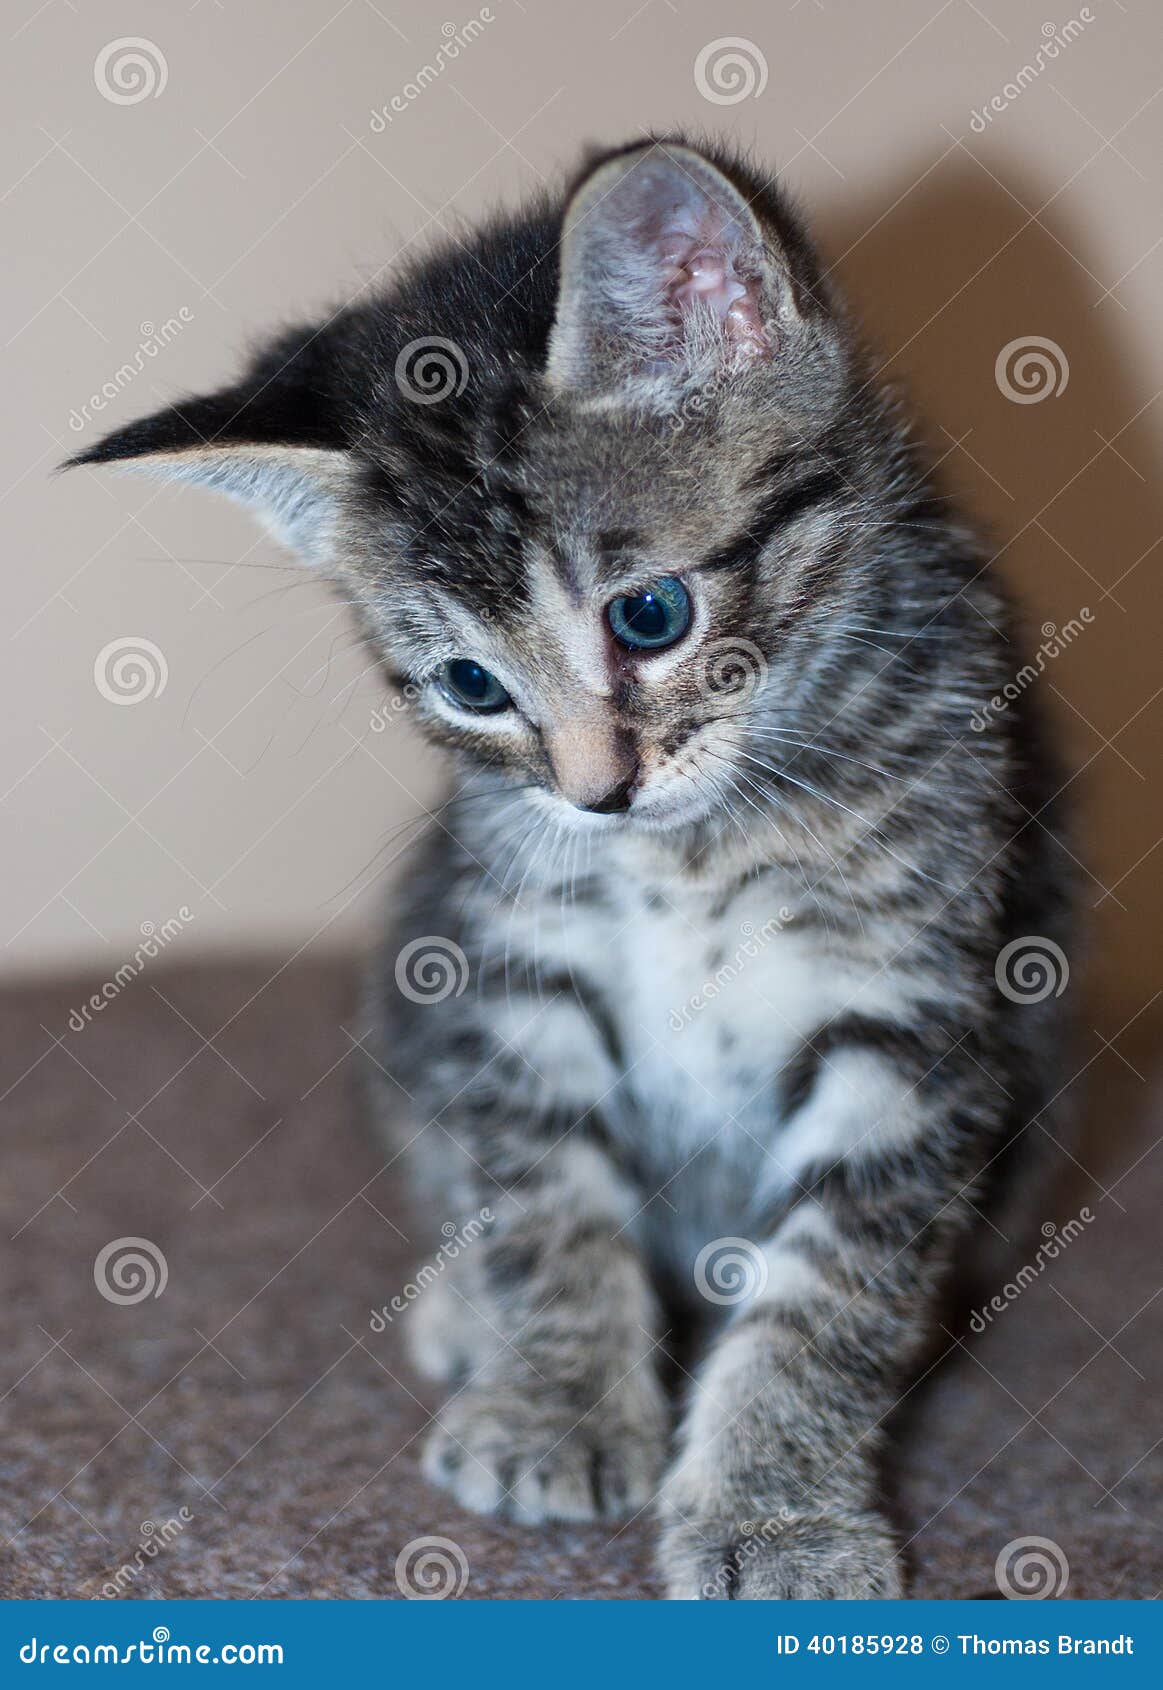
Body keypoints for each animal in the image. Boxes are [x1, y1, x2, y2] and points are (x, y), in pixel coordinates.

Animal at [72, 135, 1075, 1595]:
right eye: (471, 686)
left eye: (648, 614)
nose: (595, 794)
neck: (696, 847)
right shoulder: (508, 967)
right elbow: (542, 1199)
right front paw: (556, 1408)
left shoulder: (913, 1009)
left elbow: (829, 1286)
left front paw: (774, 1508)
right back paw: (462, 1307)